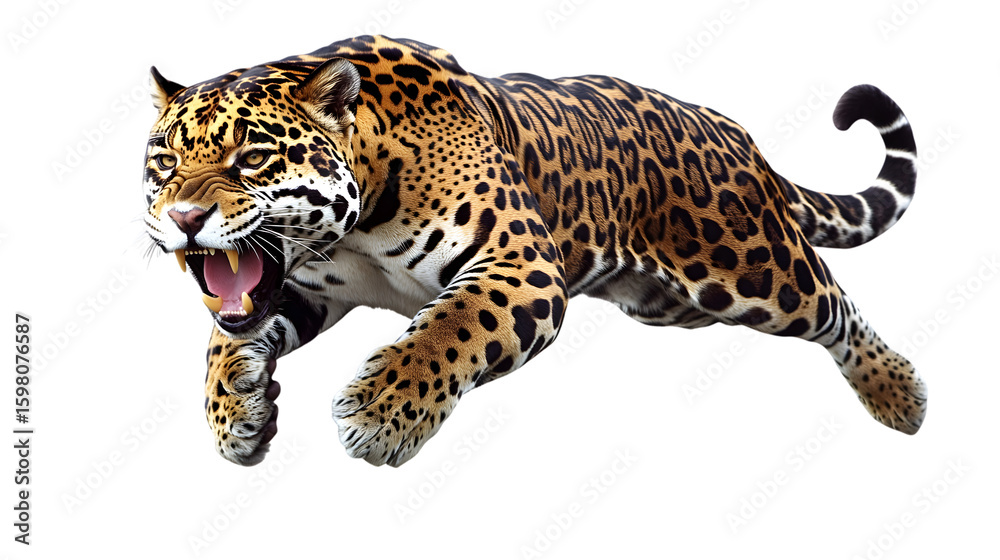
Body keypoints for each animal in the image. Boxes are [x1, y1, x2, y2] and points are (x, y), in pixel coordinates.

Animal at [142, 35, 926, 467]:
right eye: (164, 163)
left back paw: (899, 395)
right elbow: (222, 338)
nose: (183, 218)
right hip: (670, 304)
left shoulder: (522, 265)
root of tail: (735, 132)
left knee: (832, 305)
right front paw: (234, 415)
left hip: (750, 266)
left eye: (251, 159)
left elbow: (450, 328)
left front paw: (382, 412)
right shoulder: (305, 289)